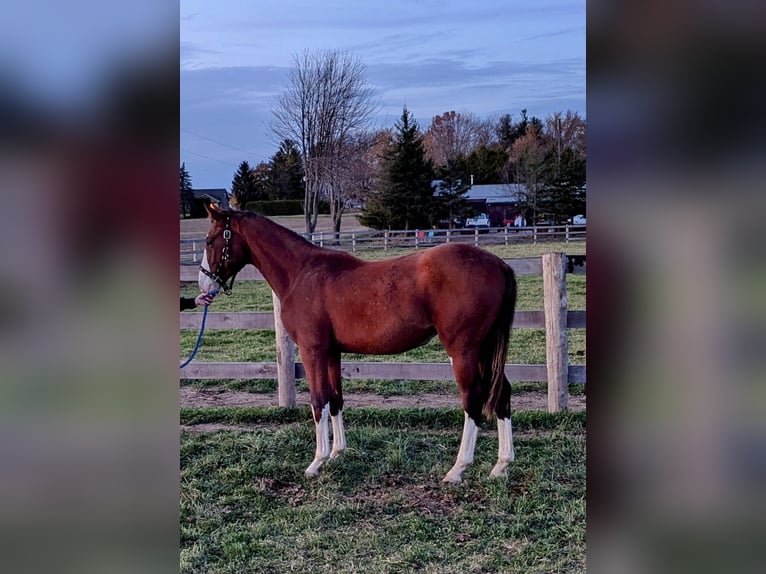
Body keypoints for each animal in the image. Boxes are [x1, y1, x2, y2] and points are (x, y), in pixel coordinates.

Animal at [201, 205, 520, 484]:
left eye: (209, 240)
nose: (205, 286)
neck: (301, 272)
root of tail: (498, 263)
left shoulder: (312, 351)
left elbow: (318, 401)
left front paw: (317, 461)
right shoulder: (332, 353)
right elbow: (335, 399)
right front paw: (337, 453)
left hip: (464, 351)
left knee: (473, 399)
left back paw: (458, 469)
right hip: (486, 350)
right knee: (502, 392)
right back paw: (501, 466)